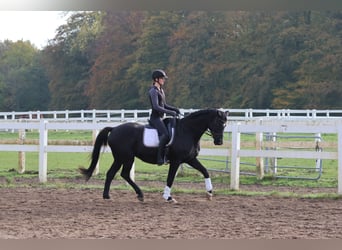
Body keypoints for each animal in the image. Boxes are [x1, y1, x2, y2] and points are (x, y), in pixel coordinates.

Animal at [79, 108, 228, 202]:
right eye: (219, 122)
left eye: (225, 124)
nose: (219, 142)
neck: (187, 131)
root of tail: (114, 128)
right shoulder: (176, 161)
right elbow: (170, 178)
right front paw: (168, 197)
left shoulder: (190, 159)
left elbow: (205, 171)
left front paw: (209, 193)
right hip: (127, 157)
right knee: (124, 174)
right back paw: (139, 195)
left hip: (120, 158)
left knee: (112, 173)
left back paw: (107, 196)